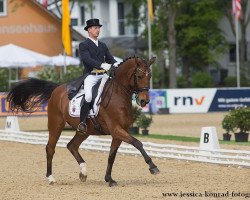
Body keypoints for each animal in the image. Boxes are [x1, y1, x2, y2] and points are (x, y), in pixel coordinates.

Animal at [7, 55, 160, 186]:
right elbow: (137, 143)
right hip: (56, 124)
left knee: (72, 146)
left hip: (84, 131)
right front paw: (153, 167)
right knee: (50, 148)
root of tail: (57, 88)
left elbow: (112, 156)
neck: (118, 95)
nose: (144, 101)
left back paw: (83, 173)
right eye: (139, 76)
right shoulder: (116, 129)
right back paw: (51, 178)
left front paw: (109, 179)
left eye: (150, 76)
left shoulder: (119, 132)